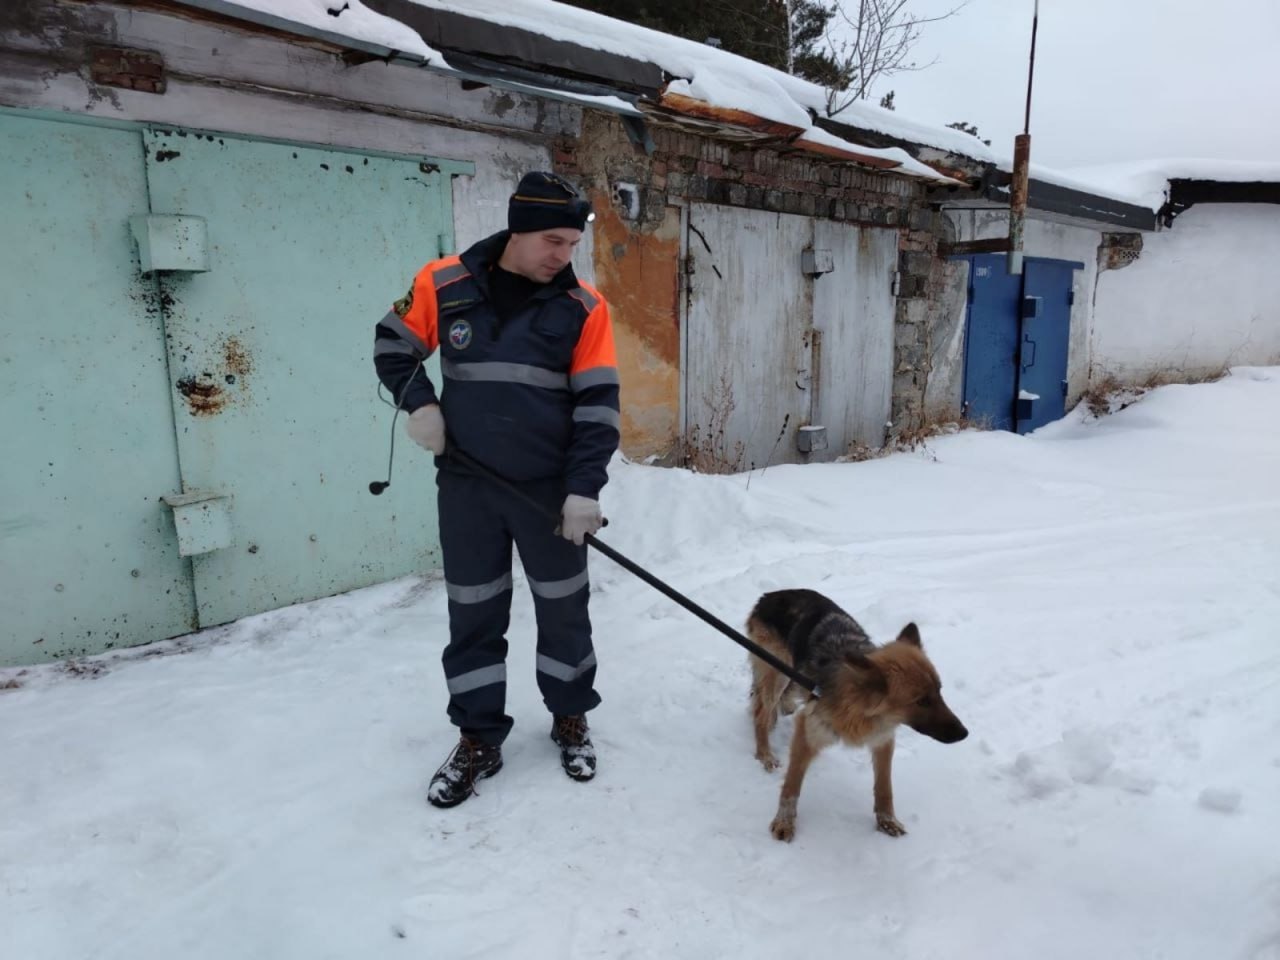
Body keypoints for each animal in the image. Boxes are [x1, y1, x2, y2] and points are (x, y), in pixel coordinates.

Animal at [747, 591, 962, 844]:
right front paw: (784, 822)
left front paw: (887, 821)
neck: (860, 709)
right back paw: (765, 755)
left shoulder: (882, 739)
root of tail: (768, 596)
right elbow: (792, 786)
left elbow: (884, 787)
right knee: (761, 713)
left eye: (939, 691)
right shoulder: (807, 730)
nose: (964, 733)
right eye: (921, 701)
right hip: (777, 673)